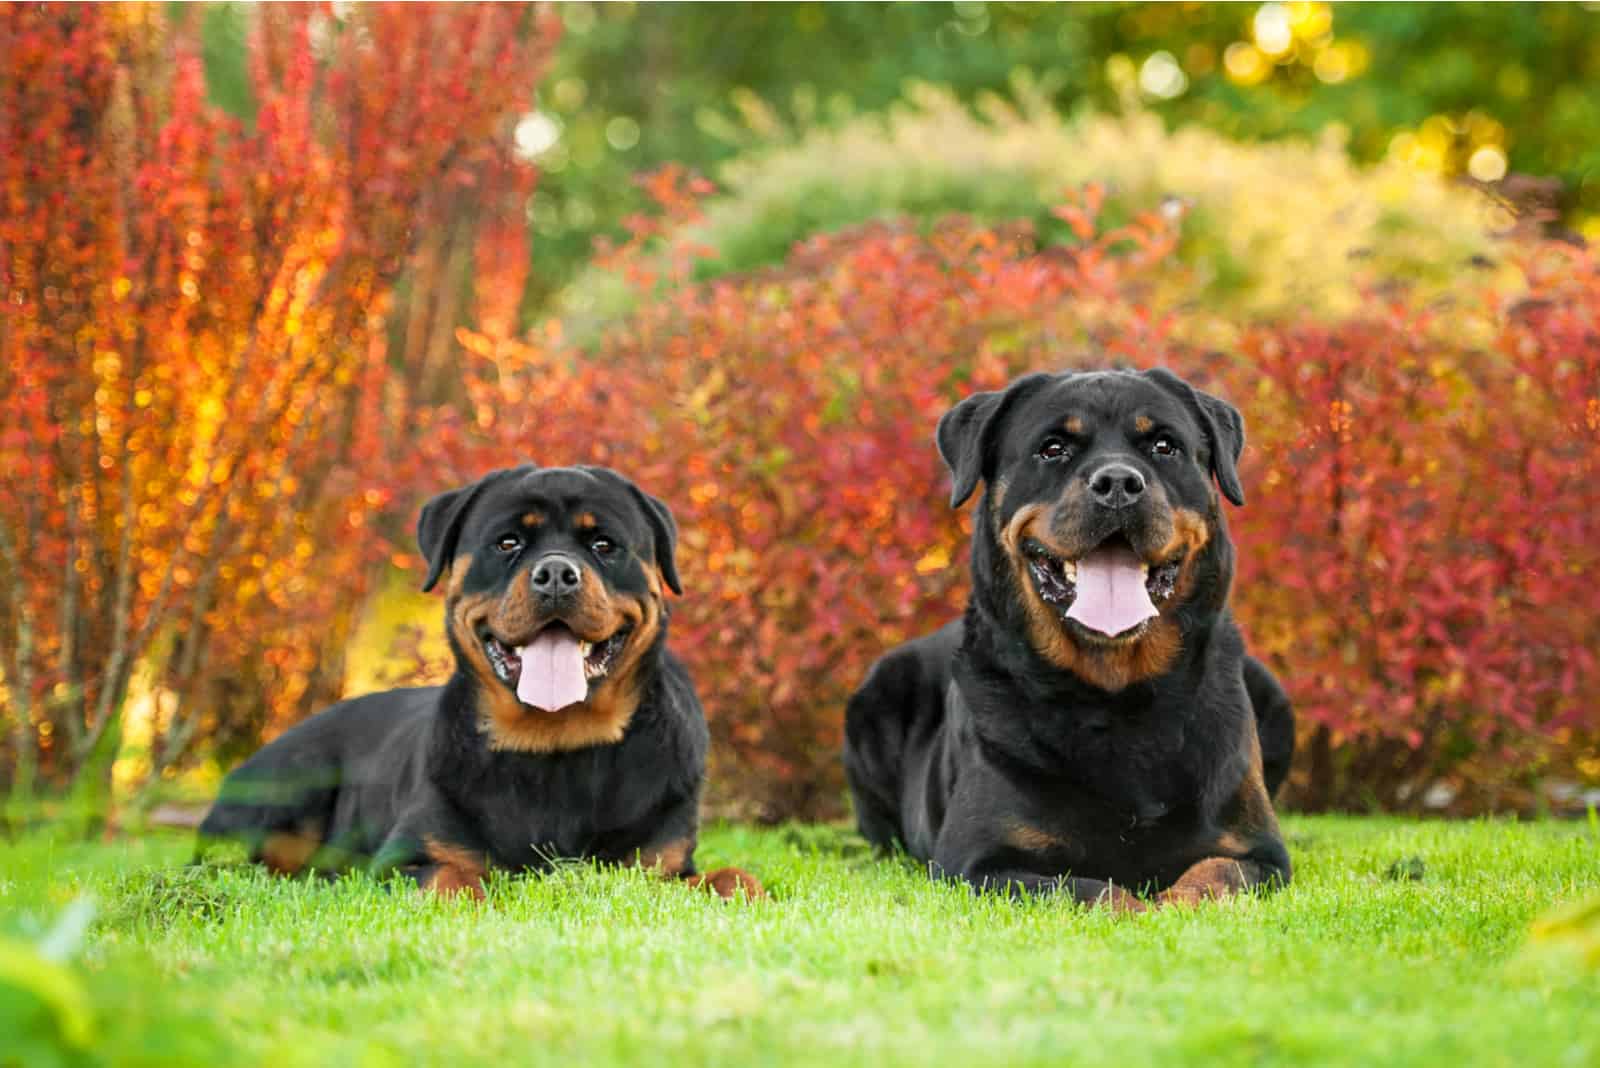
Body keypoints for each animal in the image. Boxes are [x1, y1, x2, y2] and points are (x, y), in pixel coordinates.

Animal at [198, 466, 761, 901]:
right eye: (508, 542)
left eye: (604, 545)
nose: (556, 574)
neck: (557, 746)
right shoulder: (399, 861)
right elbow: (451, 876)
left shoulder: (660, 865)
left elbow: (732, 878)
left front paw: (737, 886)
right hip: (293, 778)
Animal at [844, 367, 1292, 908]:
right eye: (1053, 448)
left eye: (1165, 446)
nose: (1118, 482)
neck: (1118, 698)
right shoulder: (978, 864)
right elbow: (1091, 891)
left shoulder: (1259, 852)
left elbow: (1213, 876)